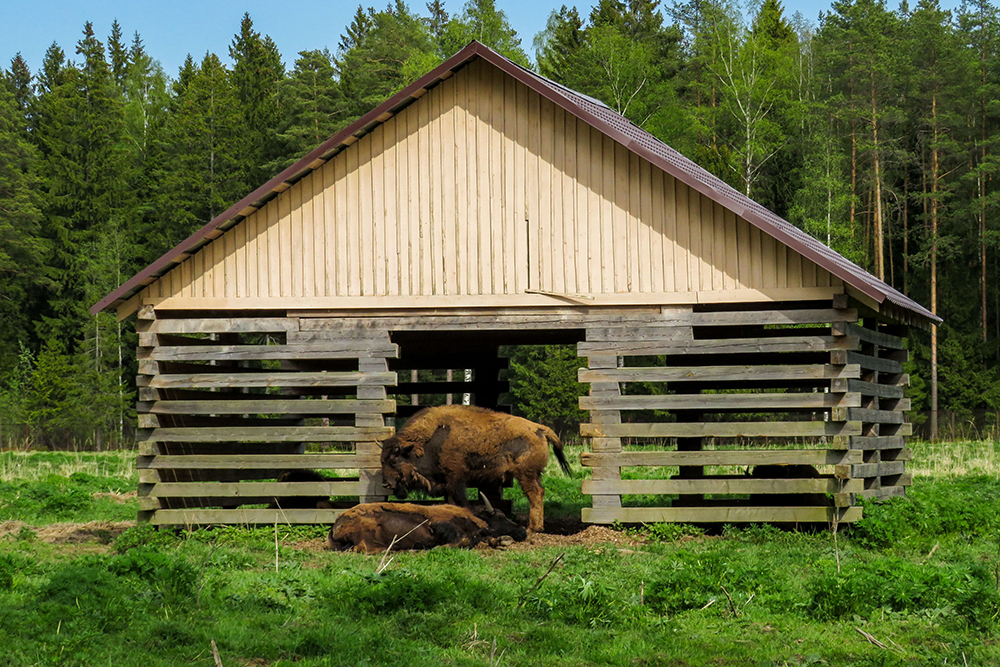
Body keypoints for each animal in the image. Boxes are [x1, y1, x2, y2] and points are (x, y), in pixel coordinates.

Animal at [328, 496, 532, 552]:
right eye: (500, 516)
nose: (522, 531)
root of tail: (336, 524)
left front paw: (502, 540)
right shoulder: (439, 525)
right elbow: (464, 539)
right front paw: (438, 547)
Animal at [378, 404, 572, 536]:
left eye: (394, 460)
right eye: (382, 460)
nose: (387, 484)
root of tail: (540, 429)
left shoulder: (455, 478)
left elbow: (458, 500)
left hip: (526, 474)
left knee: (535, 494)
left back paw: (533, 528)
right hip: (534, 474)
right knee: (540, 492)